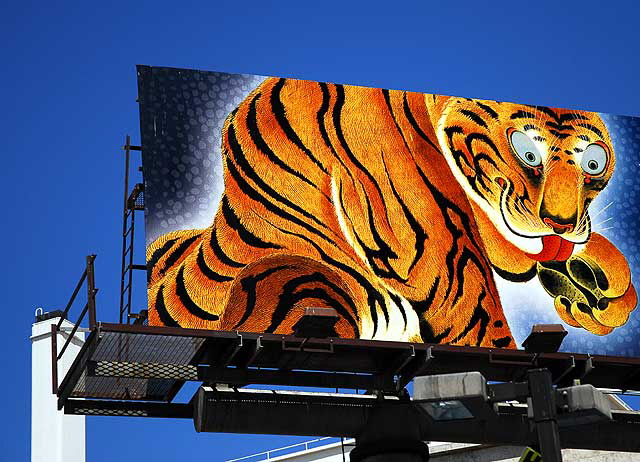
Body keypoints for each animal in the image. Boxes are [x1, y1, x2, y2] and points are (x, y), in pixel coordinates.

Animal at [145, 76, 636, 346]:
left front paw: (591, 291)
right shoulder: (443, 260)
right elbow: (481, 321)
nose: (562, 225)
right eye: (528, 153)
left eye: (594, 164)